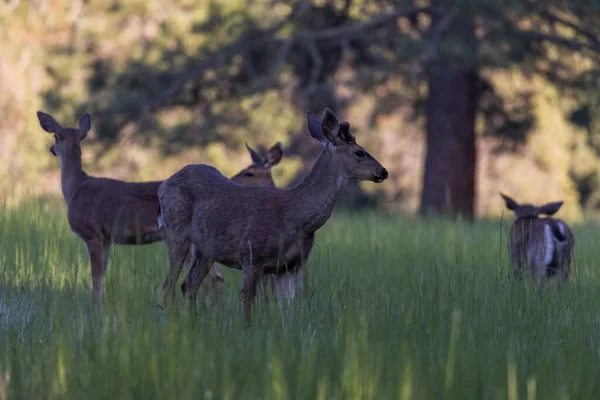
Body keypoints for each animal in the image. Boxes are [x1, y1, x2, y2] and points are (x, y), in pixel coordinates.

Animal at [35, 111, 284, 308]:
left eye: (55, 136)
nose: (50, 148)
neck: (75, 188)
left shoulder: (92, 233)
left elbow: (96, 278)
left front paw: (97, 311)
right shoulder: (106, 239)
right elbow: (102, 275)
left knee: (213, 277)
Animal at [157, 107, 386, 322]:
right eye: (359, 152)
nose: (384, 171)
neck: (297, 217)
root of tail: (164, 184)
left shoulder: (291, 266)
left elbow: (288, 312)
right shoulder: (251, 256)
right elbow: (248, 310)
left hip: (206, 250)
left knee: (188, 285)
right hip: (176, 234)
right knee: (168, 285)